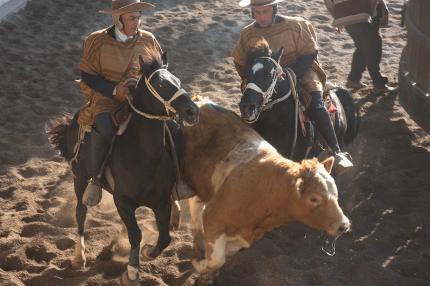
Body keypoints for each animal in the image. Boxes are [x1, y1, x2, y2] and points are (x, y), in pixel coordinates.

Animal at [47, 48, 200, 284]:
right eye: (160, 85)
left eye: (177, 81)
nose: (192, 111)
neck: (144, 157)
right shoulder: (123, 200)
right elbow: (135, 234)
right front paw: (132, 271)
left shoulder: (161, 202)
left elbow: (164, 238)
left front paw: (146, 252)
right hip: (79, 176)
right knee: (81, 212)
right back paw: (79, 257)